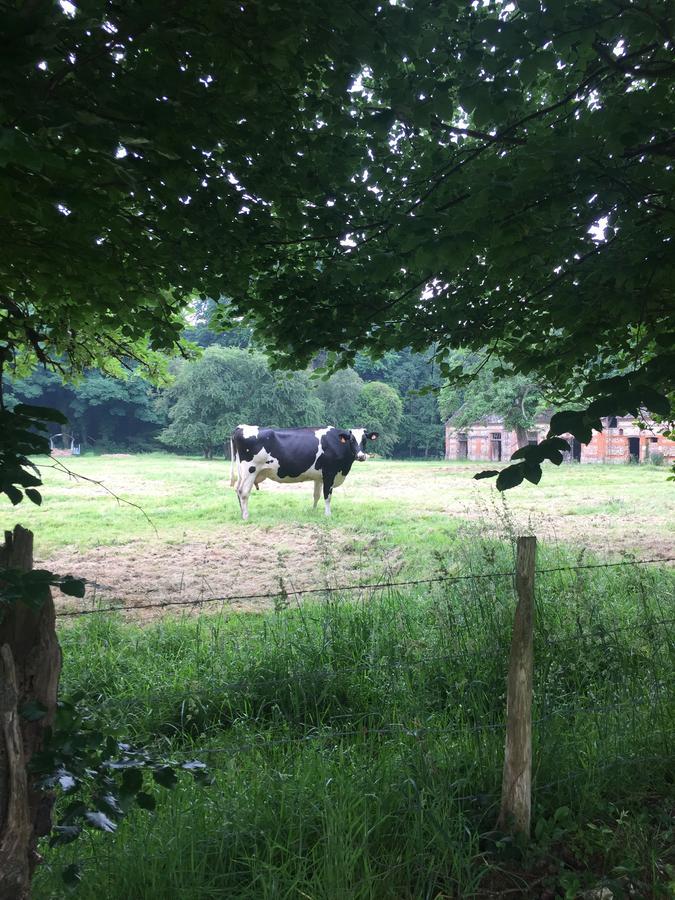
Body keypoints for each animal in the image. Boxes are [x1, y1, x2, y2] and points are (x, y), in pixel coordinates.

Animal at [231, 428, 380, 520]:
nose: (361, 456)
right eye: (352, 440)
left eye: (364, 440)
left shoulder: (319, 477)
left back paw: (241, 513)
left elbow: (316, 495)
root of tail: (241, 427)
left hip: (242, 472)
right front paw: (328, 514)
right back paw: (246, 516)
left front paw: (313, 511)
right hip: (251, 470)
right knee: (243, 492)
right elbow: (327, 496)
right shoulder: (329, 473)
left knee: (238, 490)